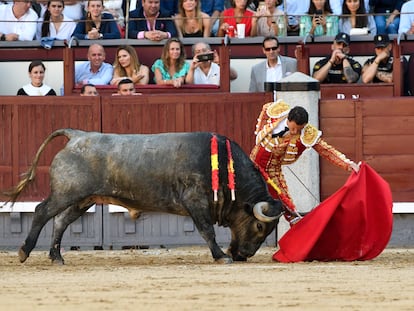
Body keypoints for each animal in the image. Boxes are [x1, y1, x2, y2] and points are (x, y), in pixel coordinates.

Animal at [1, 130, 284, 264]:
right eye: (260, 226)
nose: (244, 254)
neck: (222, 165)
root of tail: (78, 135)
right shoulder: (196, 202)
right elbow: (207, 231)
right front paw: (221, 256)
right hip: (66, 192)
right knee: (41, 211)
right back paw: (24, 252)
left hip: (84, 199)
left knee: (60, 221)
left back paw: (57, 257)